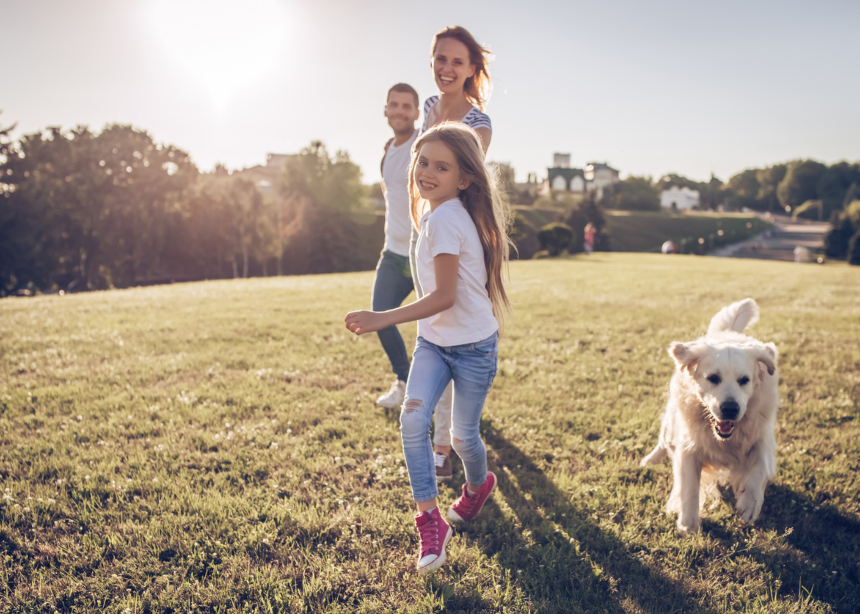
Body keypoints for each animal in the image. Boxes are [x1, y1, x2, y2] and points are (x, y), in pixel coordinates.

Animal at [640, 298, 780, 536]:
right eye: (713, 378)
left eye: (744, 380)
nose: (730, 408)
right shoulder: (689, 448)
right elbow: (689, 488)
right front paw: (688, 523)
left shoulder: (762, 438)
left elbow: (760, 468)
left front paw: (749, 503)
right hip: (670, 425)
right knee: (662, 442)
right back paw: (649, 461)